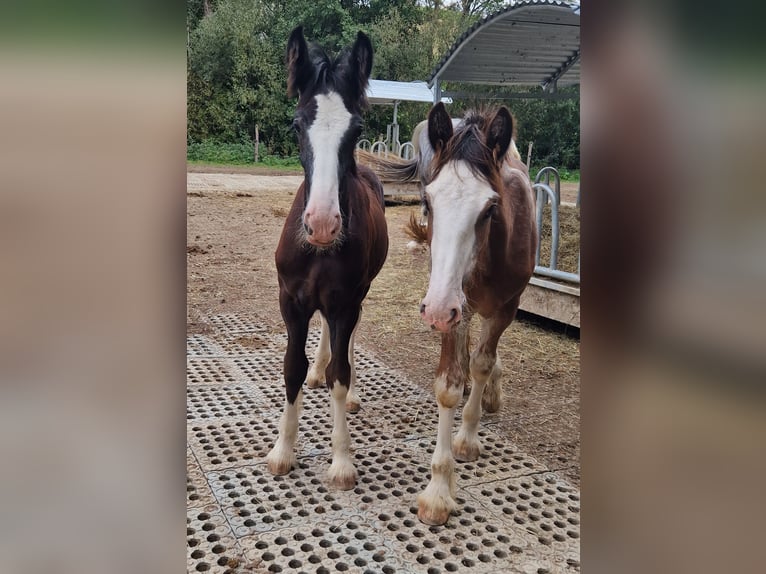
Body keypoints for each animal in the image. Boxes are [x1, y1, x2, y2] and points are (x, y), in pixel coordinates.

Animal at [265, 27, 388, 490]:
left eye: (356, 130)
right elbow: (292, 368)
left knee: (348, 343)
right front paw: (282, 451)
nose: (321, 224)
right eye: (297, 124)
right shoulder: (291, 302)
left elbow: (342, 369)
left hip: (360, 295)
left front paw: (341, 461)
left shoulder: (345, 302)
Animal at [367, 103, 537, 525]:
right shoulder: (452, 309)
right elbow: (449, 384)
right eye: (427, 202)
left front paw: (467, 439)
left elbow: (482, 363)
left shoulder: (504, 308)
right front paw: (438, 491)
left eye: (490, 208)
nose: (439, 307)